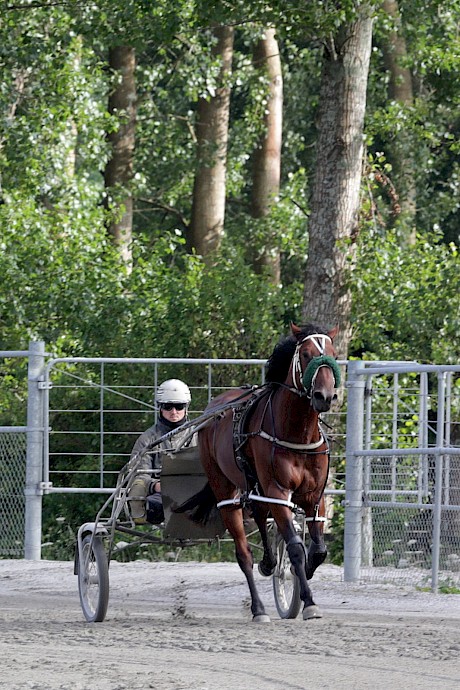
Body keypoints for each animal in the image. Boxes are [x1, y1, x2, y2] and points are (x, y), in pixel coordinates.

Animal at [191, 322, 342, 620]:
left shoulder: (314, 495)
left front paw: (303, 572)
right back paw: (258, 608)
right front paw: (308, 601)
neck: (297, 433)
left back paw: (269, 563)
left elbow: (318, 550)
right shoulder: (277, 492)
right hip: (225, 490)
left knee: (260, 515)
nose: (324, 396)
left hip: (254, 484)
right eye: (306, 354)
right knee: (243, 553)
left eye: (333, 354)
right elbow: (295, 548)